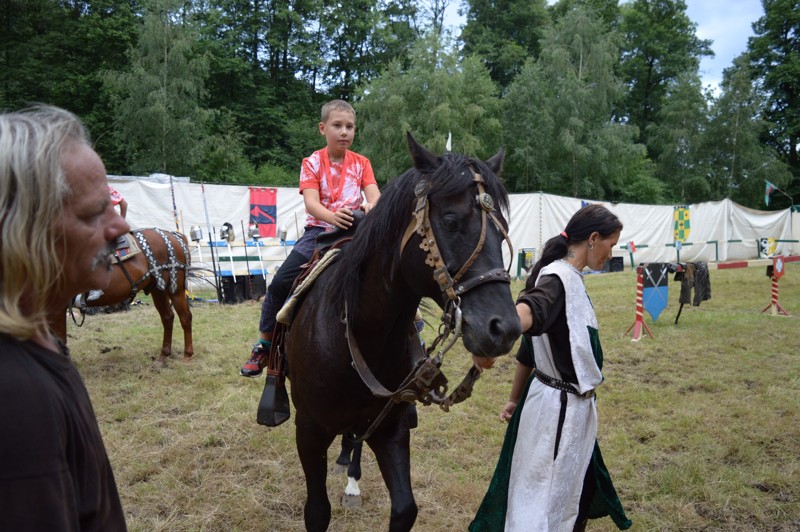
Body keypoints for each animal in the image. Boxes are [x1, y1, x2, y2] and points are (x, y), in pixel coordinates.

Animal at [54, 224, 194, 366]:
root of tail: (175, 236)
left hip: (175, 290)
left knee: (185, 317)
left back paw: (187, 355)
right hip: (158, 289)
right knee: (168, 318)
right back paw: (163, 356)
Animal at [284, 135, 520, 528]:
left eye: (502, 229)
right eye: (451, 221)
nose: (505, 328)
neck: (356, 334)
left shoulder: (390, 428)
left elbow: (406, 508)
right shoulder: (309, 430)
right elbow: (316, 511)